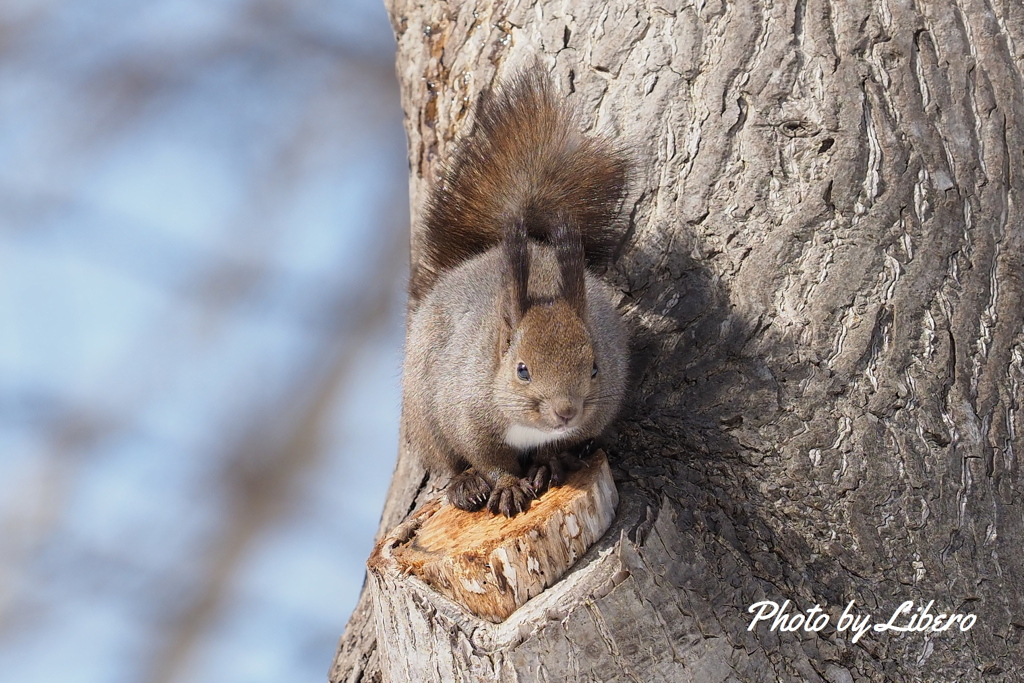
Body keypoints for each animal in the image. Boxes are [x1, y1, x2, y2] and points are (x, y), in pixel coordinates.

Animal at [401, 69, 626, 518]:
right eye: (522, 370)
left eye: (594, 367)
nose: (566, 411)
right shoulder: (467, 413)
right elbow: (489, 458)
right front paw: (505, 486)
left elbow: (557, 447)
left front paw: (548, 464)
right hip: (423, 412)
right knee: (448, 460)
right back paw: (466, 484)